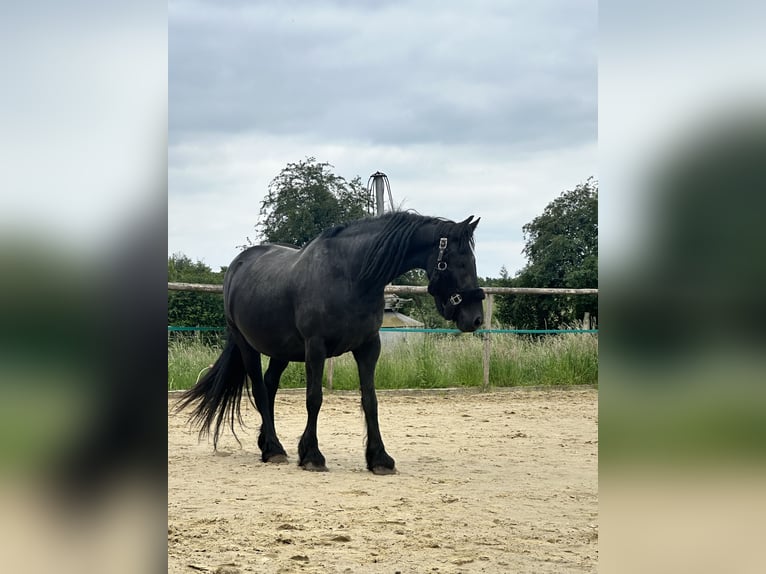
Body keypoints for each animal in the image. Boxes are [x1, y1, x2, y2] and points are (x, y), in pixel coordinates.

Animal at [177, 212, 484, 476]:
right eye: (457, 262)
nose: (476, 318)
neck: (352, 276)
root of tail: (237, 266)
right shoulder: (316, 348)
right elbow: (314, 398)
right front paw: (312, 456)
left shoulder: (369, 347)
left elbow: (370, 400)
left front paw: (379, 459)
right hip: (247, 346)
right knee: (260, 390)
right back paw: (273, 449)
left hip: (281, 351)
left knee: (270, 385)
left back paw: (268, 443)